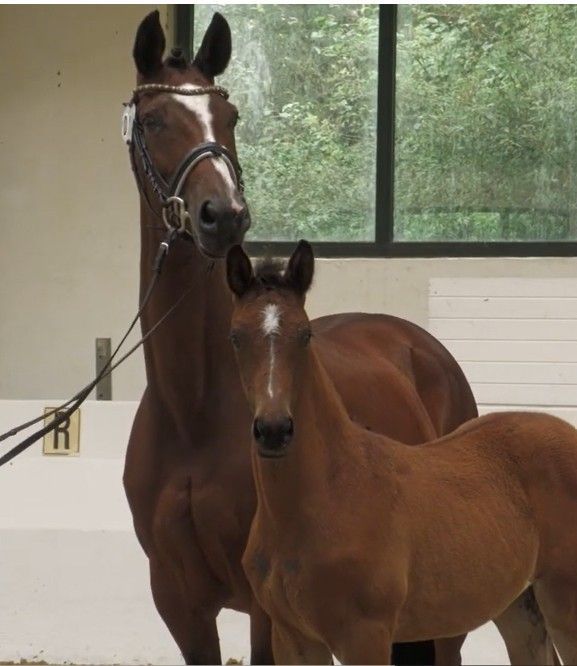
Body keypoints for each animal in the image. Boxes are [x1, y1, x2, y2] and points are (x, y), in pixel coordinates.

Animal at [123, 10, 511, 664]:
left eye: (229, 116)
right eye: (154, 120)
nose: (223, 215)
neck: (194, 412)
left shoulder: (266, 608)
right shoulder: (178, 602)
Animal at [225, 240, 575, 666]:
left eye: (305, 335)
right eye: (236, 336)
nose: (274, 430)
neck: (328, 495)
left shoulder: (366, 636)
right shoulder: (293, 638)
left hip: (565, 601)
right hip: (517, 605)